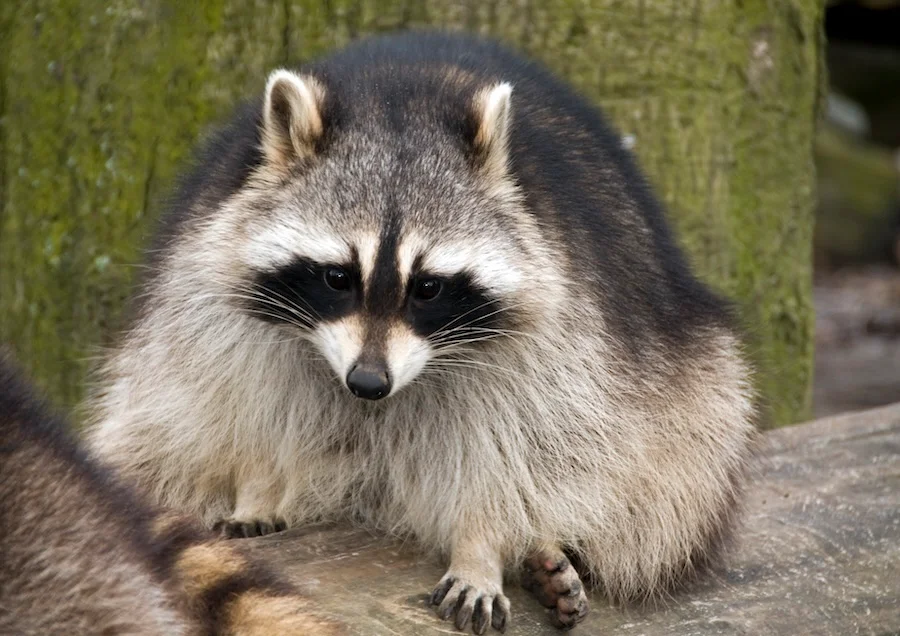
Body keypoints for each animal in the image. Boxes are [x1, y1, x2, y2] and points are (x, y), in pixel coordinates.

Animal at [87, 31, 756, 633]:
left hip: (687, 391)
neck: (401, 100)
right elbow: (238, 401)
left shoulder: (562, 329)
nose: (367, 383)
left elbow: (527, 446)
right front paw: (258, 484)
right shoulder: (209, 282)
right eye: (337, 277)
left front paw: (483, 545)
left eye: (428, 287)